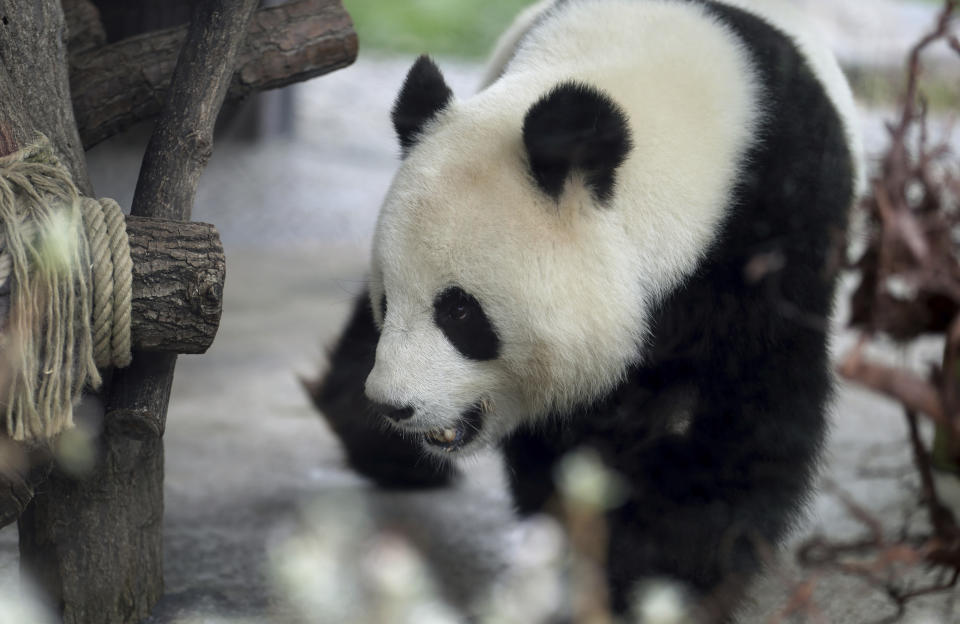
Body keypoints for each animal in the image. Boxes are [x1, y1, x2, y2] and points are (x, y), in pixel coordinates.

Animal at [314, 1, 864, 620]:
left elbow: (739, 420)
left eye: (459, 313)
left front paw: (662, 578)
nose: (395, 405)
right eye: (390, 298)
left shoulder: (772, 233)